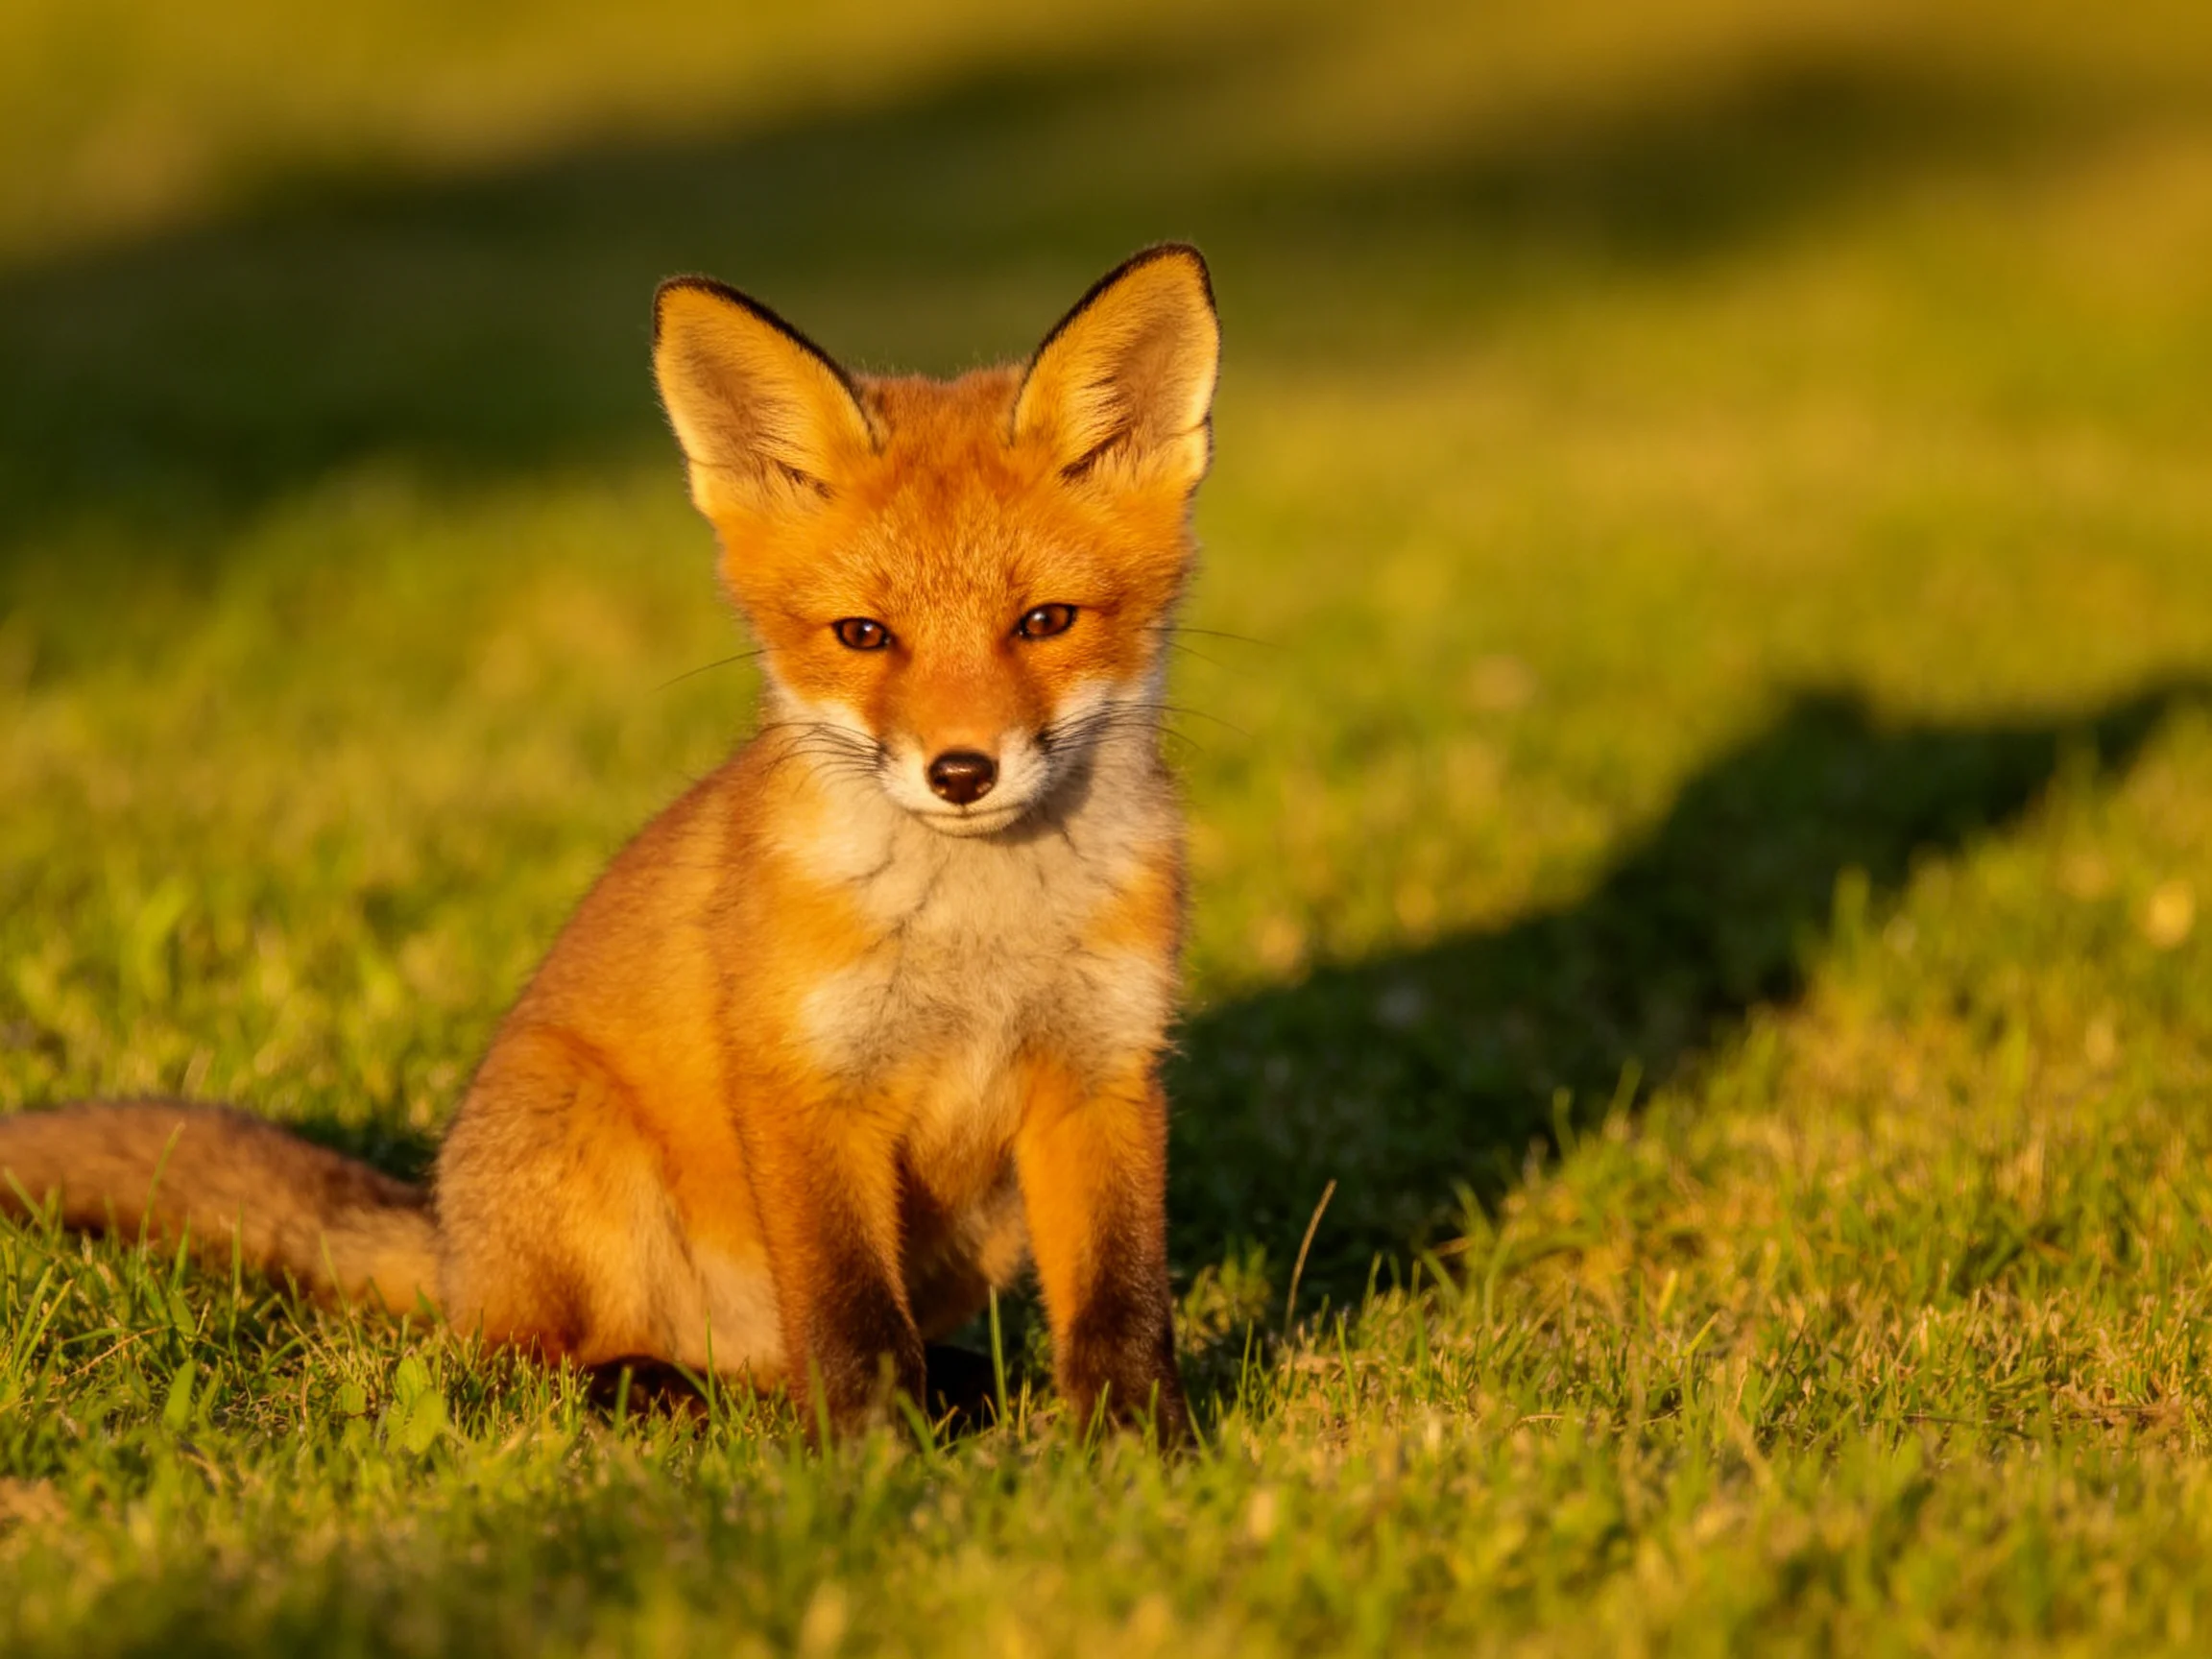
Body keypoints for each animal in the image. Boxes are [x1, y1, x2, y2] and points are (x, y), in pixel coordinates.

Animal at [0, 244, 1222, 1441]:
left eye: (1046, 623)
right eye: (864, 636)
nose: (961, 772)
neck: (981, 938)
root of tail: (452, 1245)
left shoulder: (1104, 1074)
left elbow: (1120, 1302)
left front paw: (1139, 1450)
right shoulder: (807, 1088)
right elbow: (851, 1318)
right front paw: (868, 1460)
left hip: (985, 1219)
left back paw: (952, 1390)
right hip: (582, 1152)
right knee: (516, 1364)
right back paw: (658, 1395)